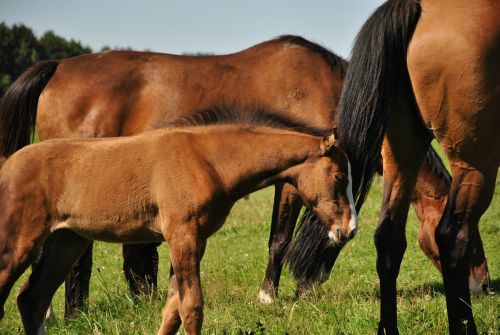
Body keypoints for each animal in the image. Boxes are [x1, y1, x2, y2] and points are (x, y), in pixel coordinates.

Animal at [0, 119, 358, 335]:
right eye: (340, 176)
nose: (349, 229)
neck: (208, 160)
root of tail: (7, 165)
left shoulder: (194, 241)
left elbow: (172, 309)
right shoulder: (182, 235)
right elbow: (192, 307)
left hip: (66, 242)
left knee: (32, 299)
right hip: (19, 244)